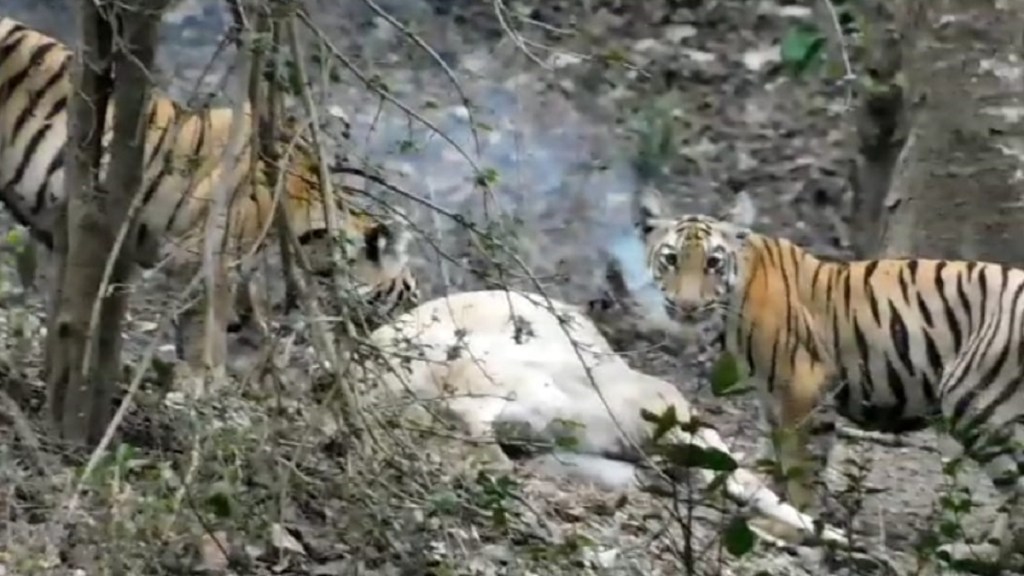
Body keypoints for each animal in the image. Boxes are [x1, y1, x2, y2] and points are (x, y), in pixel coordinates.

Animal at [632, 185, 1024, 567]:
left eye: (713, 262)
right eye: (671, 259)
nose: (687, 306)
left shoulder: (801, 390)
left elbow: (800, 469)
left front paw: (797, 531)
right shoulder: (772, 400)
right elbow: (774, 460)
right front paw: (771, 515)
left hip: (974, 403)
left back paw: (982, 553)